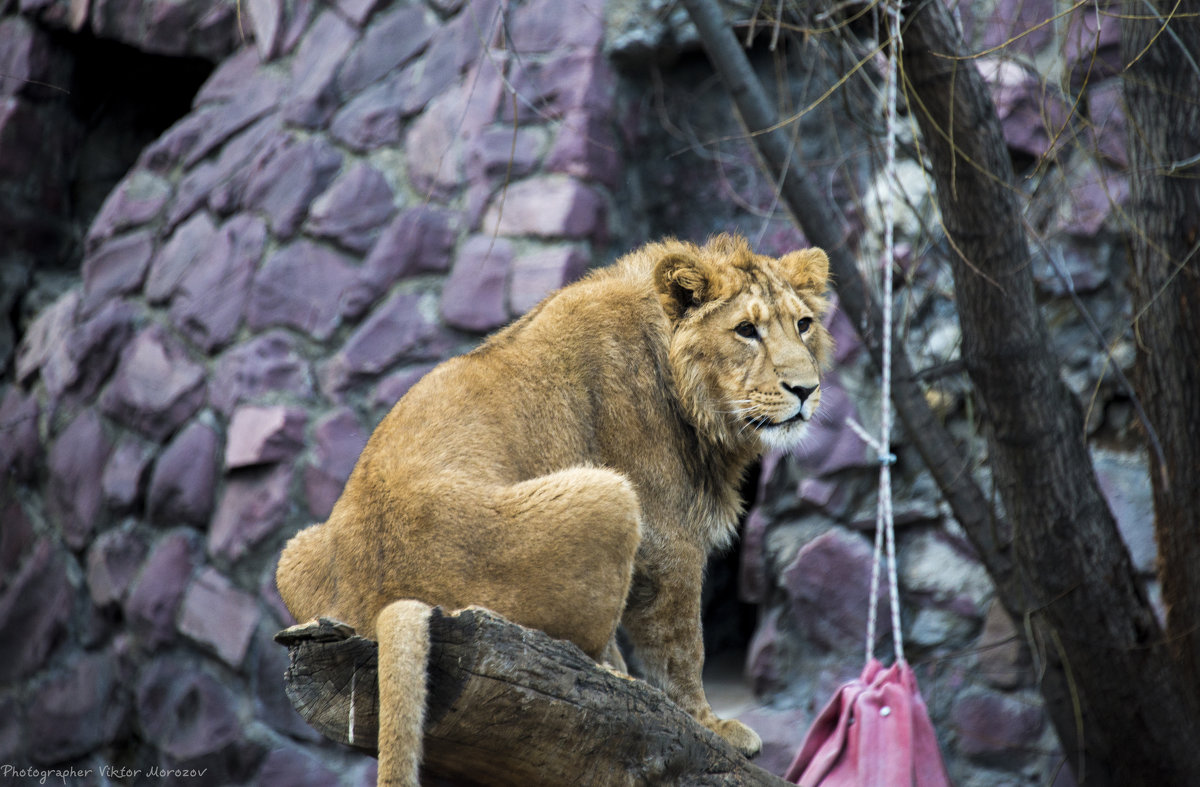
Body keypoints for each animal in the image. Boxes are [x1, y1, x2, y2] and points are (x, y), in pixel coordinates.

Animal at [276, 231, 835, 782]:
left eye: (803, 325)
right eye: (745, 330)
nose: (805, 390)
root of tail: (377, 606)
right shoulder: (667, 536)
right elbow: (681, 646)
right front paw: (713, 727)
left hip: (295, 550)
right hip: (608, 492)